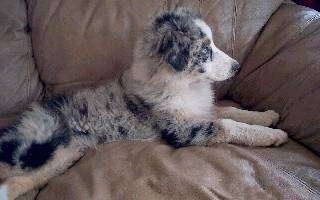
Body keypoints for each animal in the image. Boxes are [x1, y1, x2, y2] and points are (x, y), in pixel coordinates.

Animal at [0, 8, 288, 200]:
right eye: (206, 51)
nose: (237, 67)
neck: (185, 83)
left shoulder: (200, 109)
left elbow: (230, 110)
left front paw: (267, 116)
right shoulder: (182, 130)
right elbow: (228, 124)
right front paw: (272, 135)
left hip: (64, 156)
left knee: (20, 181)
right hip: (41, 140)